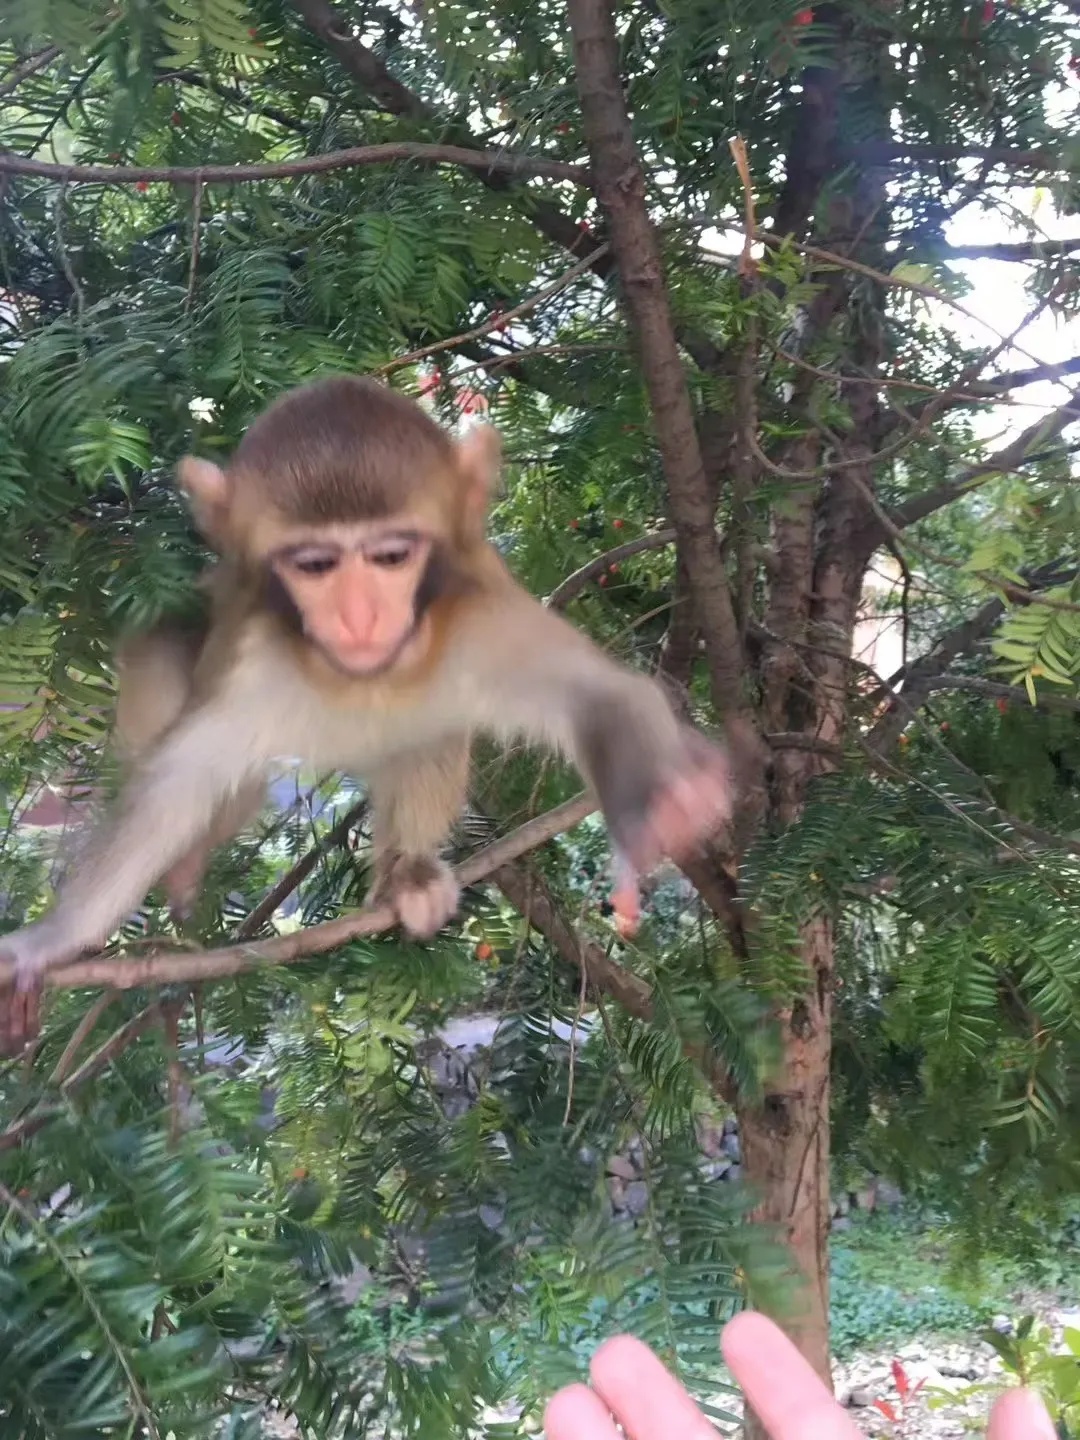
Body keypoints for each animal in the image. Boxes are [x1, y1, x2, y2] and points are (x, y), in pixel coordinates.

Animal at [0, 377, 737, 1042]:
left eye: (390, 555)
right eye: (315, 564)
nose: (358, 617)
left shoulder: (479, 623)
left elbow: (606, 697)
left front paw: (652, 806)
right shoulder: (255, 663)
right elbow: (175, 786)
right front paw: (52, 939)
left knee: (428, 734)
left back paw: (405, 875)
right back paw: (184, 872)